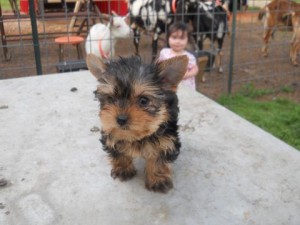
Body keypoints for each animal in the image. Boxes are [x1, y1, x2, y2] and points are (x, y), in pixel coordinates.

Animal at [85, 53, 188, 192]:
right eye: (110, 99)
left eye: (143, 101)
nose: (121, 119)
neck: (136, 137)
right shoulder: (111, 134)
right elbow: (118, 152)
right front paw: (123, 169)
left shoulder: (166, 140)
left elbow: (158, 158)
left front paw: (157, 179)